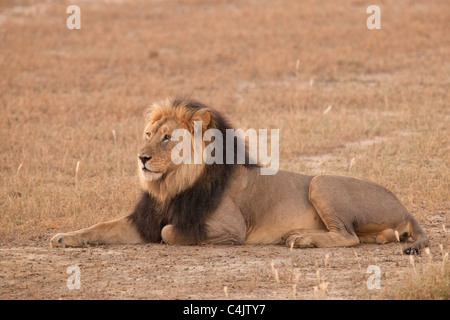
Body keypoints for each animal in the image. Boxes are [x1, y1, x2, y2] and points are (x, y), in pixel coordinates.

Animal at [50, 96, 428, 254]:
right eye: (148, 134)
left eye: (168, 138)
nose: (141, 158)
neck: (172, 185)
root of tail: (406, 210)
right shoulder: (144, 219)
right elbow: (100, 227)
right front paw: (64, 237)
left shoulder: (230, 229)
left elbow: (170, 233)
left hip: (321, 181)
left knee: (348, 237)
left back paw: (301, 239)